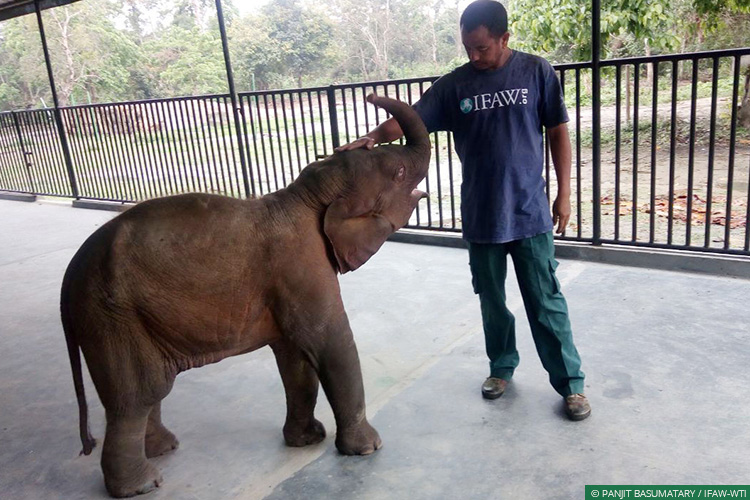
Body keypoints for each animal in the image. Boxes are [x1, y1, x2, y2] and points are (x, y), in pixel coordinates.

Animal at [60, 93, 430, 498]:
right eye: (398, 173)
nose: (369, 96)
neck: (305, 197)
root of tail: (68, 281)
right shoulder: (301, 265)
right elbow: (328, 341)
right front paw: (367, 449)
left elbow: (295, 357)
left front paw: (306, 441)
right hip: (111, 316)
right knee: (137, 395)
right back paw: (144, 484)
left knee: (149, 392)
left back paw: (163, 449)